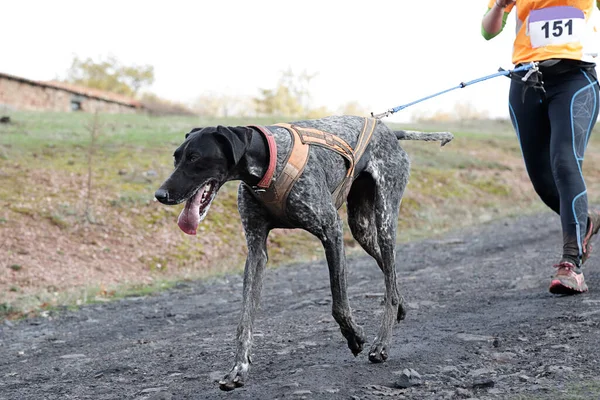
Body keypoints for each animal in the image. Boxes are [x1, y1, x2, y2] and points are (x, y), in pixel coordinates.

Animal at [152, 115, 452, 390]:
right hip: (362, 229)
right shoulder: (256, 250)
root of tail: (388, 130)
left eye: (194, 157)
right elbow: (244, 319)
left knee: (389, 277)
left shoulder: (331, 231)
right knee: (391, 276)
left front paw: (355, 336)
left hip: (385, 219)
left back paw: (381, 343)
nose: (160, 195)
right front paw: (238, 368)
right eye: (176, 157)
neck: (269, 162)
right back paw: (400, 306)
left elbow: (338, 303)